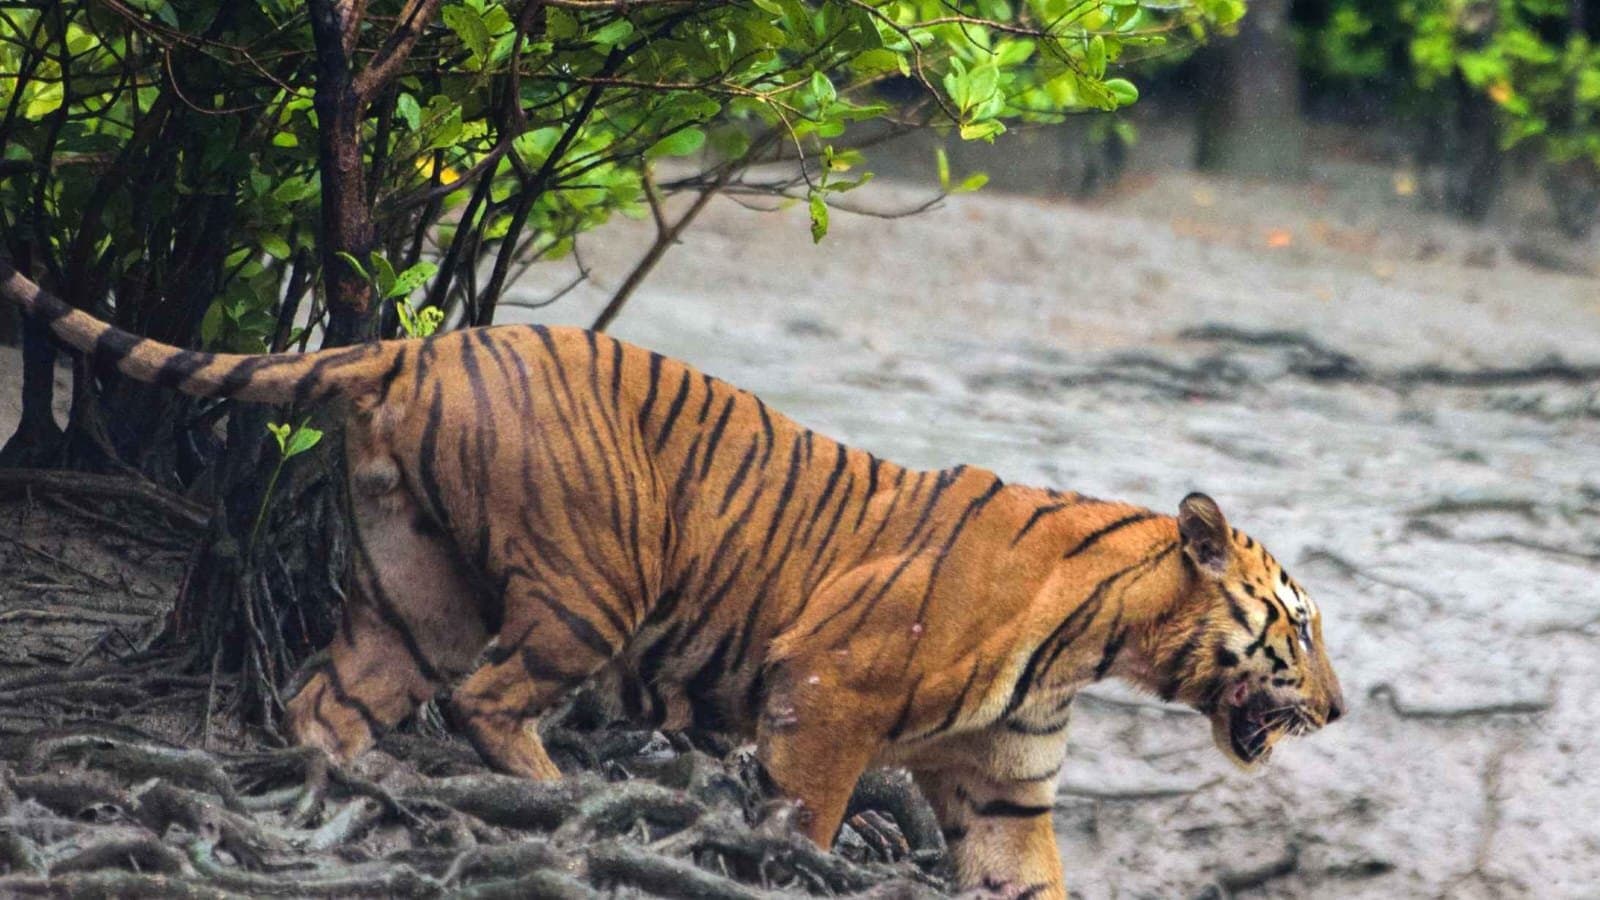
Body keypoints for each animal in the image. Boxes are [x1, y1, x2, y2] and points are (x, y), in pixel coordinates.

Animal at [1, 259, 1343, 899]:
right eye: (1295, 625)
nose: (1334, 711)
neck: (1097, 645)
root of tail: (419, 345)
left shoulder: (1005, 788)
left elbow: (1030, 884)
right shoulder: (828, 695)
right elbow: (807, 816)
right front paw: (784, 863)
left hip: (416, 593)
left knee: (330, 699)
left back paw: (357, 789)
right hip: (594, 580)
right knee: (489, 703)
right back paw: (546, 805)